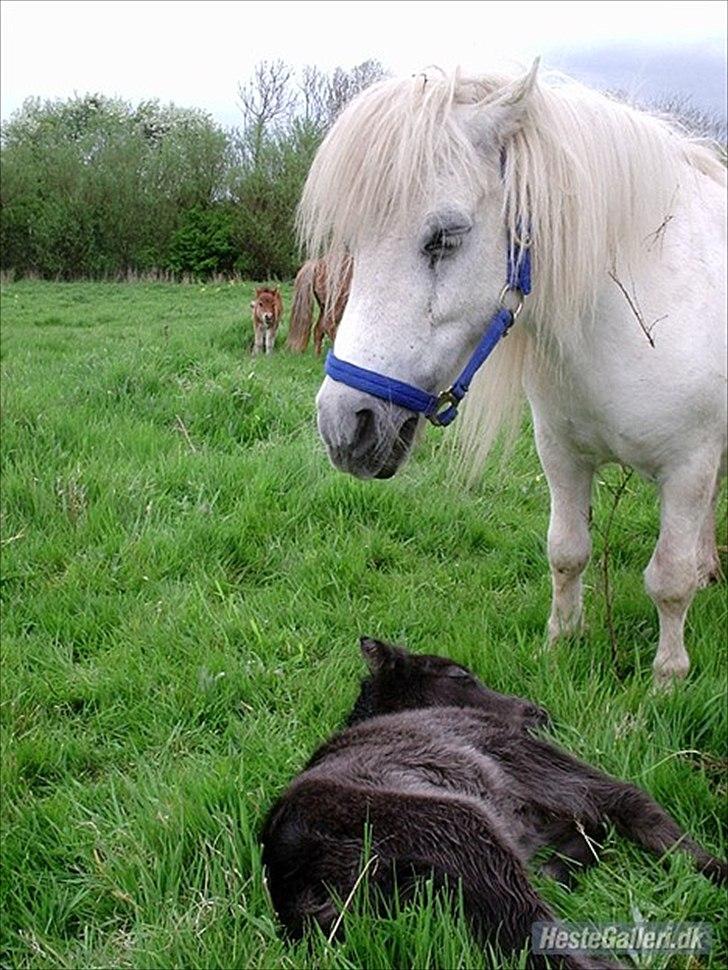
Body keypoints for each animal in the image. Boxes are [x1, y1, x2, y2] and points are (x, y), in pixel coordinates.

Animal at [260, 640, 724, 964]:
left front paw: (555, 869)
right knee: (536, 939)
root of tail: (299, 890)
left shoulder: (527, 819)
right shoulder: (512, 751)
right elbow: (628, 800)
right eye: (461, 677)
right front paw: (714, 869)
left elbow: (592, 828)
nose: (538, 712)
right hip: (459, 823)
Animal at [298, 64, 724, 684]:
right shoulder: (562, 455)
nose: (343, 426)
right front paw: (560, 642)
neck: (640, 306)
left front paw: (667, 679)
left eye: (445, 237)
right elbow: (566, 550)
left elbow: (668, 580)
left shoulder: (688, 467)